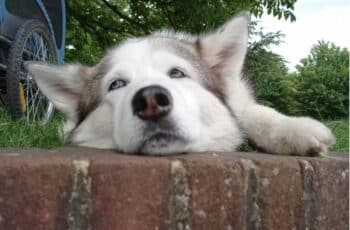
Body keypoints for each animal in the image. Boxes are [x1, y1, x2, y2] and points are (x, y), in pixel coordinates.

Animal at [26, 11, 334, 156]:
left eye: (176, 73)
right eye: (116, 85)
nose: (151, 100)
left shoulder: (240, 100)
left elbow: (257, 114)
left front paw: (295, 129)